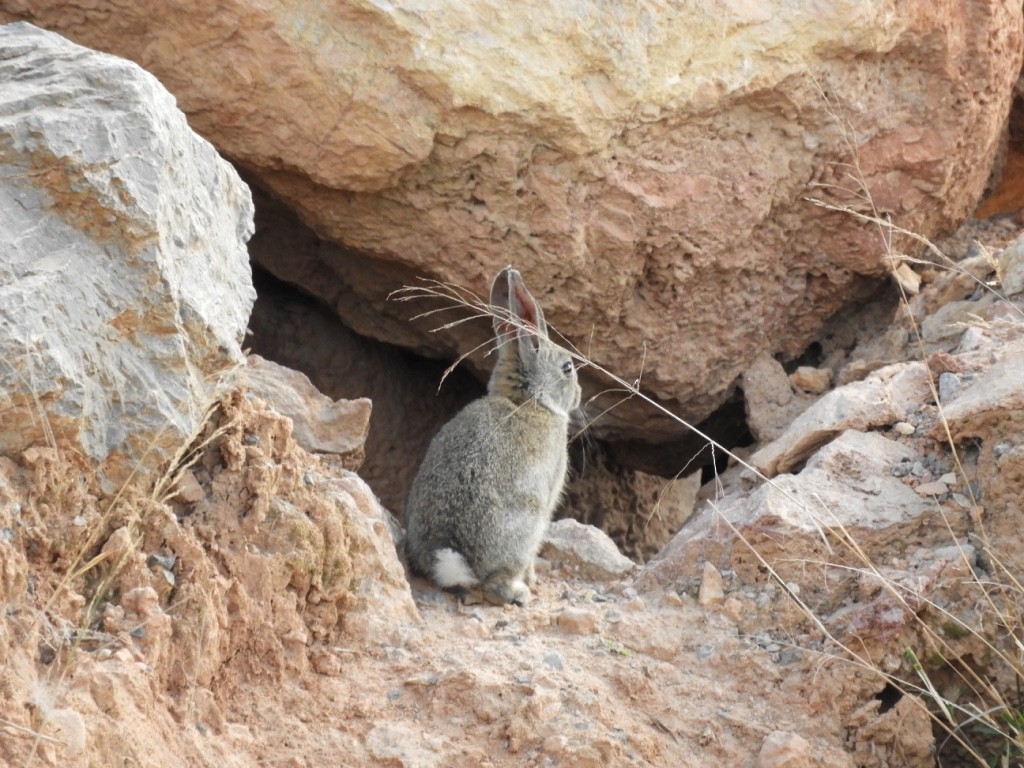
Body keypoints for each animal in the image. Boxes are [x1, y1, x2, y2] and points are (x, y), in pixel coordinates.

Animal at [404, 267, 582, 606]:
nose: (579, 395)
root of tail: (452, 558)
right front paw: (534, 580)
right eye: (567, 368)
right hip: (525, 522)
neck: (528, 402)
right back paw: (518, 592)